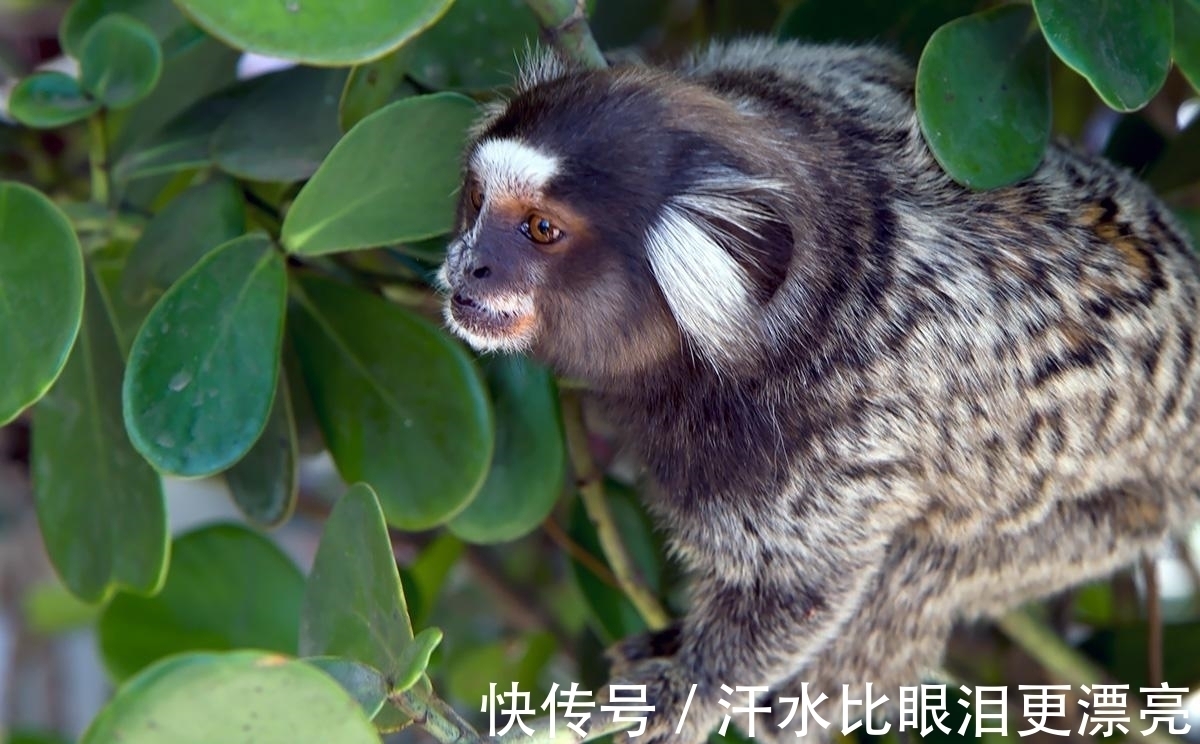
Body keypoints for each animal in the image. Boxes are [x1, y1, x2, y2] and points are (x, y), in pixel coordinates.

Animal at [439, 39, 1200, 739]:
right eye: (478, 201)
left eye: (541, 229)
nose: (467, 265)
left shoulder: (837, 433)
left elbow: (799, 590)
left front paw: (689, 687)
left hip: (1115, 514)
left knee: (922, 567)